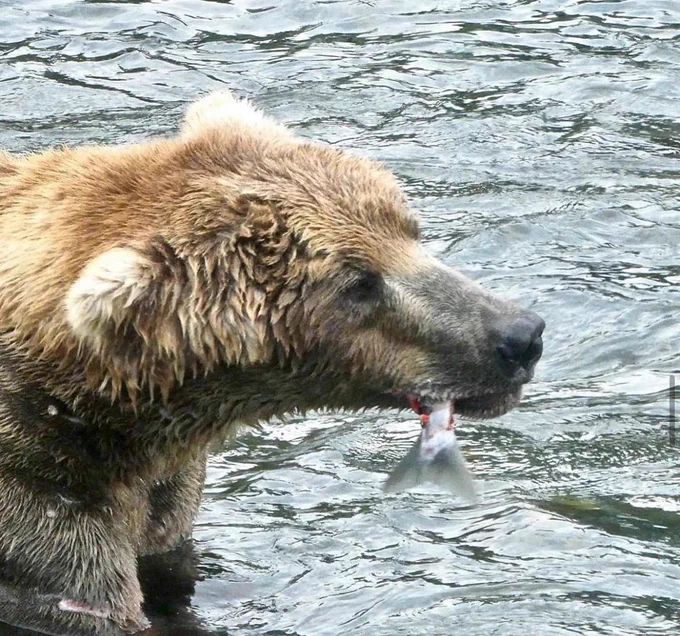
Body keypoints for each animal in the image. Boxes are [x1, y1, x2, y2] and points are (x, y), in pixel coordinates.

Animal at [0, 92, 544, 635]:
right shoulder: (44, 506)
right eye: (359, 283)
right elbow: (93, 594)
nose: (521, 336)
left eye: (409, 229)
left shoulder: (165, 497)